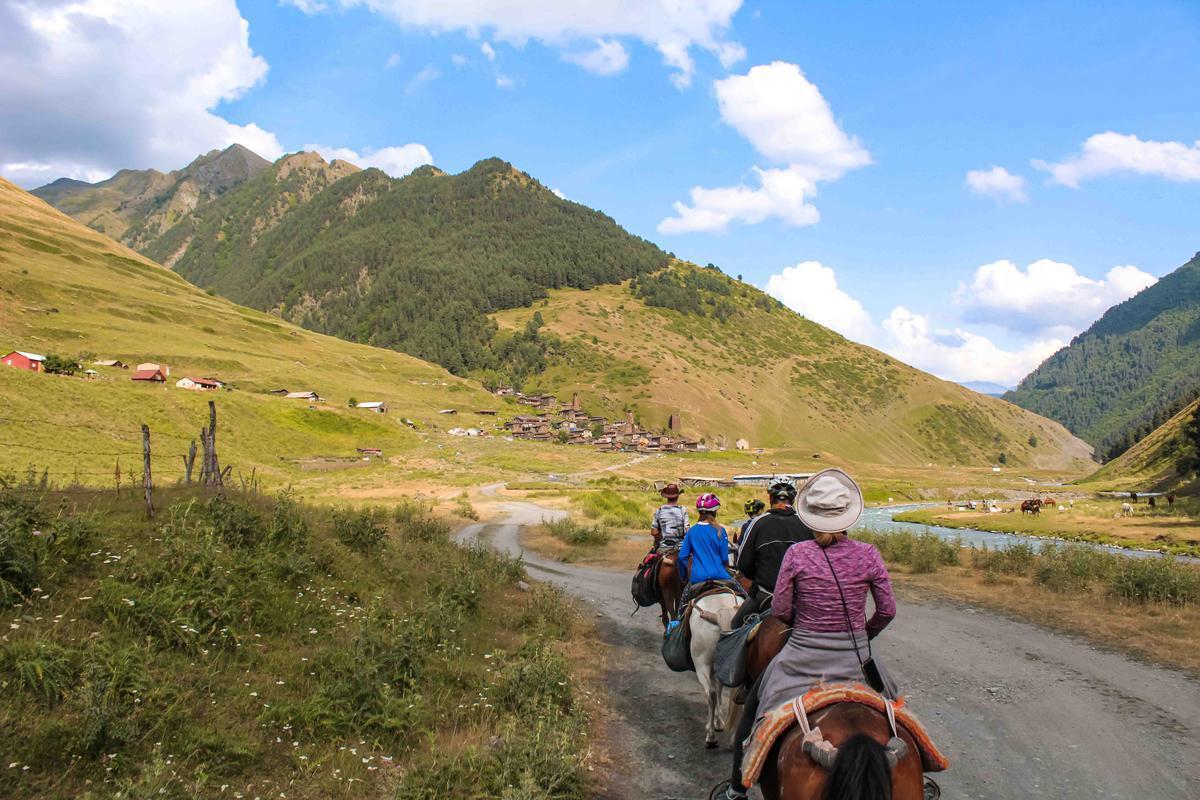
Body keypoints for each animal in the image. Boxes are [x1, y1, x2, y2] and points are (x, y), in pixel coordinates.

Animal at [691, 587, 744, 753]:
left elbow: (716, 690)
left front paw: (715, 723)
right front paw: (719, 721)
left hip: (701, 665)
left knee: (711, 693)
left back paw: (711, 738)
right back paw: (733, 741)